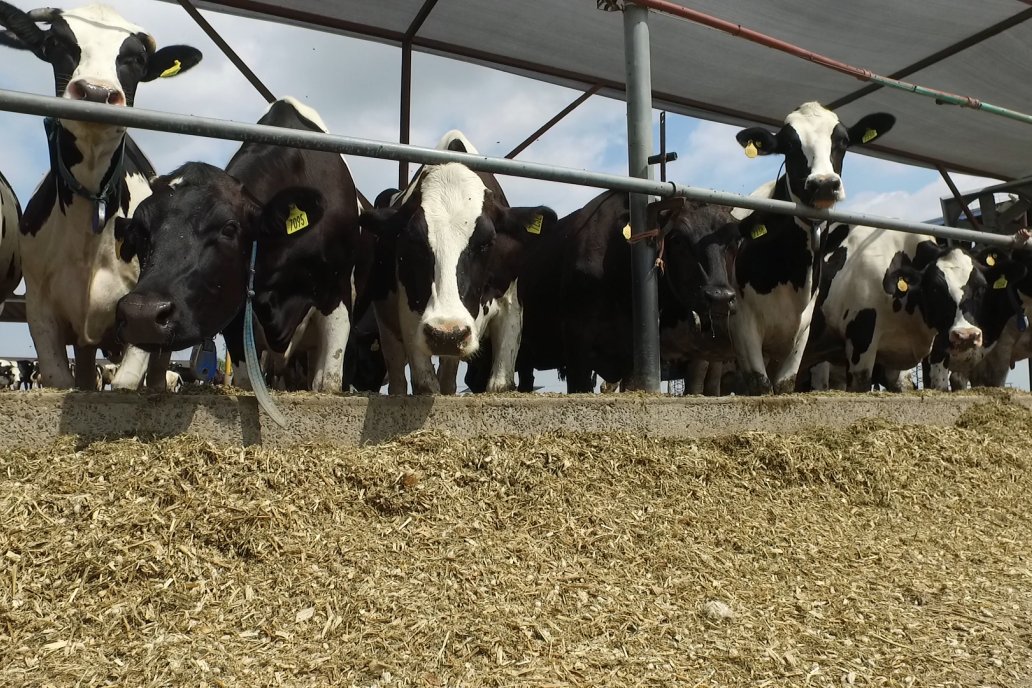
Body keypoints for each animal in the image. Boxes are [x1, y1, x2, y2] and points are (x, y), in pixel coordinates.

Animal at [0, 0, 200, 389]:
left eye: (135, 58)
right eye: (57, 44)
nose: (96, 92)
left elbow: (124, 385)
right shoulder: (40, 309)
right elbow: (61, 380)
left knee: (157, 374)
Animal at [115, 99, 365, 396]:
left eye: (229, 228)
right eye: (141, 231)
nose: (142, 314)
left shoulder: (337, 290)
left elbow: (328, 382)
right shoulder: (236, 312)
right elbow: (247, 381)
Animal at [361, 130, 557, 396]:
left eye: (487, 242)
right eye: (413, 241)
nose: (447, 334)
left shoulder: (511, 304)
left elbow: (501, 384)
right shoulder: (410, 309)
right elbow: (425, 384)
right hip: (387, 322)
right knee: (398, 376)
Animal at [726, 101, 895, 391]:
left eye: (844, 141)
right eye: (789, 145)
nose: (824, 184)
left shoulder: (802, 331)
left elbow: (785, 384)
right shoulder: (743, 325)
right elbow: (761, 385)